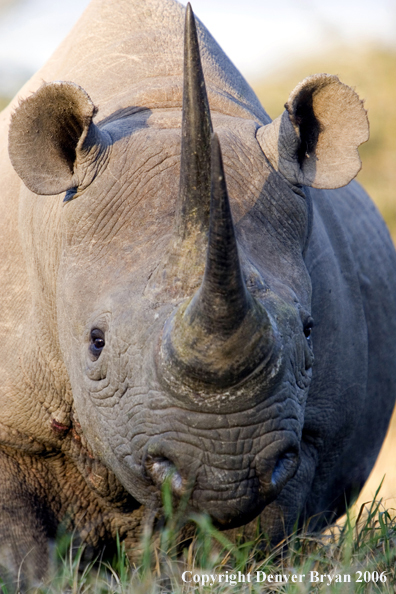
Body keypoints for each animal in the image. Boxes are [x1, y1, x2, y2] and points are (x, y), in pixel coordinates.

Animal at [0, 0, 396, 584]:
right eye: (95, 342)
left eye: (309, 332)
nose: (224, 470)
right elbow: (20, 539)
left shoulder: (306, 436)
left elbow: (253, 532)